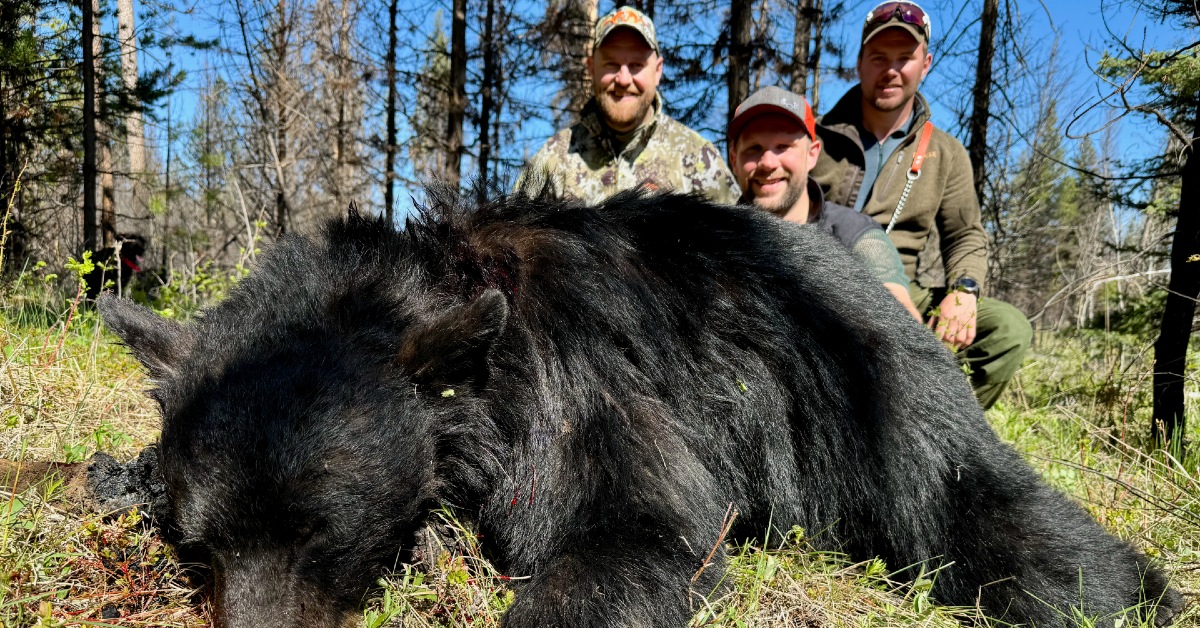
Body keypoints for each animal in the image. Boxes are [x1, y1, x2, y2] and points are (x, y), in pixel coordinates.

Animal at [100, 192, 1180, 628]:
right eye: (199, 545)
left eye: (325, 537)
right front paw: (113, 477)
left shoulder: (578, 394)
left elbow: (634, 529)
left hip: (864, 384)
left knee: (981, 507)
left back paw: (1131, 591)